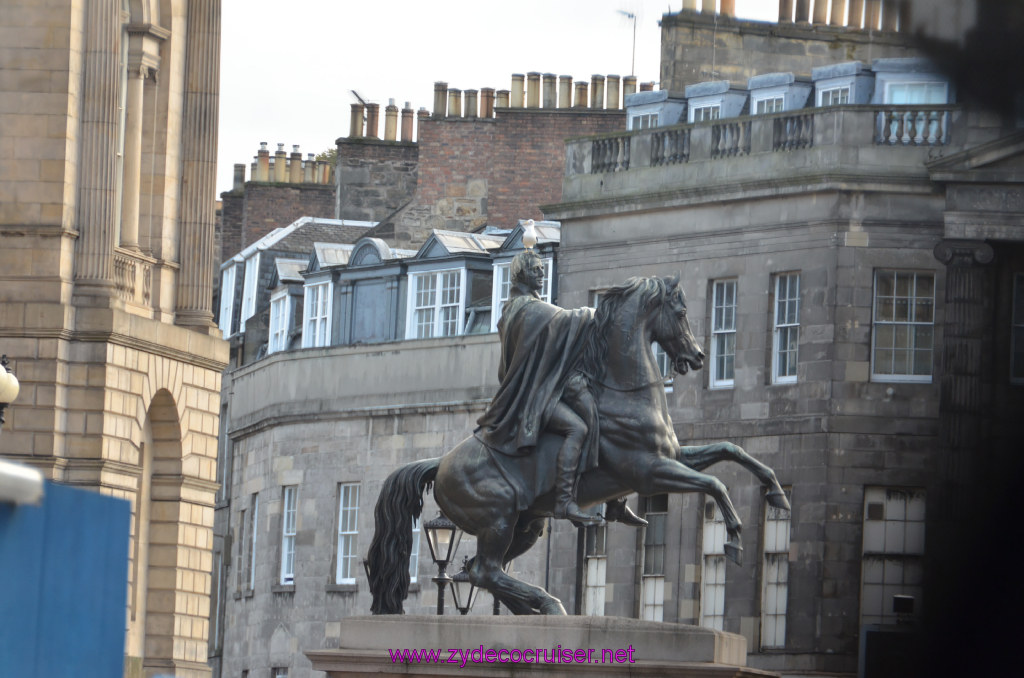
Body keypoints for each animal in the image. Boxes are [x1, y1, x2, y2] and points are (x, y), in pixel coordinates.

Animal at [370, 276, 790, 614]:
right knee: (485, 571)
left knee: (479, 571)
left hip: (526, 525)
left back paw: (533, 609)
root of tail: (440, 463)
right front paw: (734, 535)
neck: (624, 394)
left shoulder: (670, 457)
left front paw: (777, 493)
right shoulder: (651, 472)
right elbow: (716, 484)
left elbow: (732, 450)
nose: (698, 355)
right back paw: (548, 603)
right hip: (497, 519)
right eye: (682, 311)